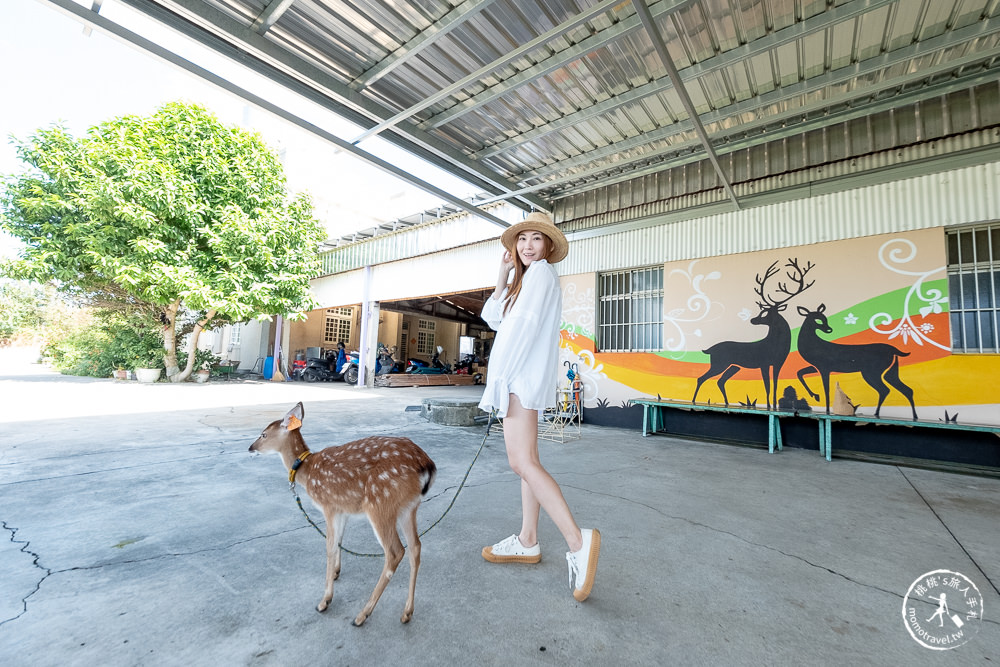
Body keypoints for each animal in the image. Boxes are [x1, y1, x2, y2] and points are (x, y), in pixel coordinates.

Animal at [248, 402, 436, 628]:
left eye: (264, 434)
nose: (250, 448)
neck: (307, 473)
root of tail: (426, 465)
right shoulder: (343, 509)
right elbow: (339, 540)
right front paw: (337, 572)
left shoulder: (329, 505)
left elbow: (329, 546)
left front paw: (325, 600)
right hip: (409, 507)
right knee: (415, 547)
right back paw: (407, 612)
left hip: (379, 503)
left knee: (395, 551)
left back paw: (362, 615)